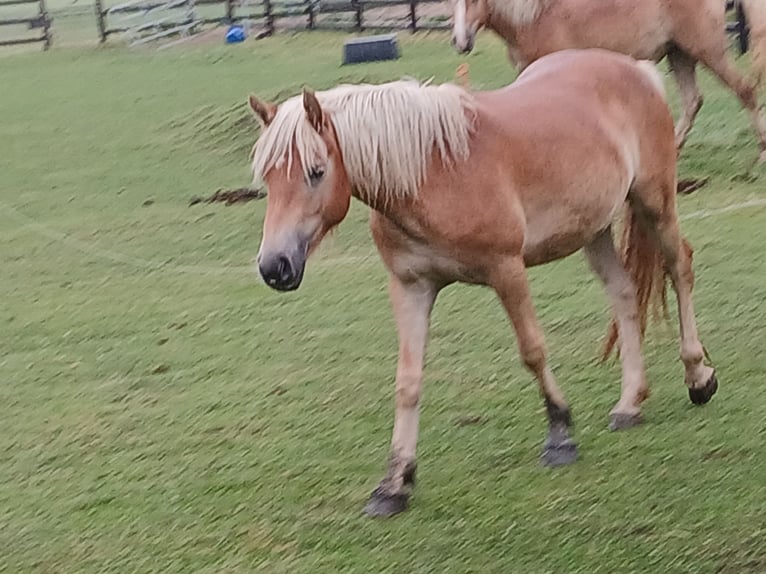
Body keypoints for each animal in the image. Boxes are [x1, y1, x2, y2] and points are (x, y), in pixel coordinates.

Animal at [250, 49, 720, 520]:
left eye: (316, 171)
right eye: (267, 178)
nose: (275, 266)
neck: (434, 172)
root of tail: (635, 69)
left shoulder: (506, 269)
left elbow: (532, 351)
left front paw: (560, 435)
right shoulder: (411, 286)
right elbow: (407, 381)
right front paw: (395, 482)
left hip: (655, 202)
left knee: (680, 268)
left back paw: (698, 377)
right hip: (594, 228)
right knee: (623, 292)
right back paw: (629, 404)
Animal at [450, 0, 766, 162]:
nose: (460, 41)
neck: (537, 16)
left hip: (707, 50)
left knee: (745, 90)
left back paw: (762, 151)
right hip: (680, 54)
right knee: (692, 101)